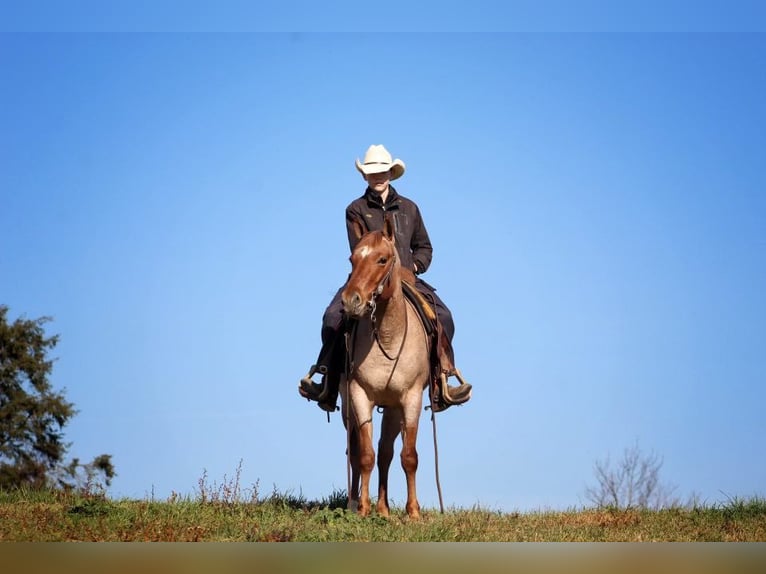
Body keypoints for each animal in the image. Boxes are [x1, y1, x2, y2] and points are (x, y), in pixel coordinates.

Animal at [340, 217, 436, 520]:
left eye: (382, 259)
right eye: (352, 259)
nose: (351, 301)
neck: (387, 338)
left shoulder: (411, 399)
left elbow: (408, 456)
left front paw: (413, 512)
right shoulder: (360, 396)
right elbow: (365, 455)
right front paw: (361, 509)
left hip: (393, 409)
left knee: (386, 452)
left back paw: (383, 509)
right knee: (357, 451)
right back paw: (355, 502)